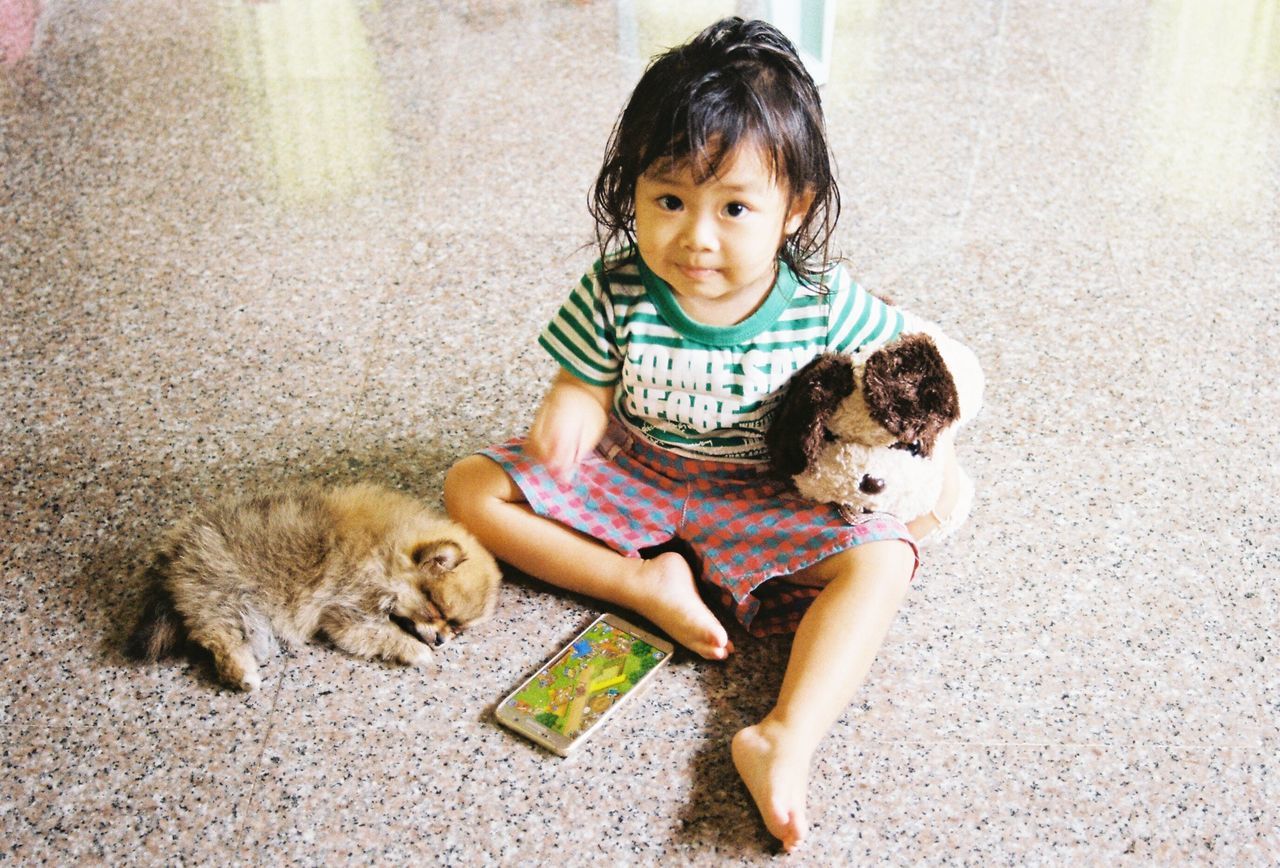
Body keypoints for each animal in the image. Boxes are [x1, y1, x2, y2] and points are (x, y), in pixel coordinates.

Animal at [128, 483, 499, 691]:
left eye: (457, 628)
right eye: (435, 608)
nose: (442, 640)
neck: (383, 551)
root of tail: (173, 557)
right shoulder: (347, 610)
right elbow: (383, 633)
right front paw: (418, 651)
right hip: (222, 594)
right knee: (220, 639)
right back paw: (244, 676)